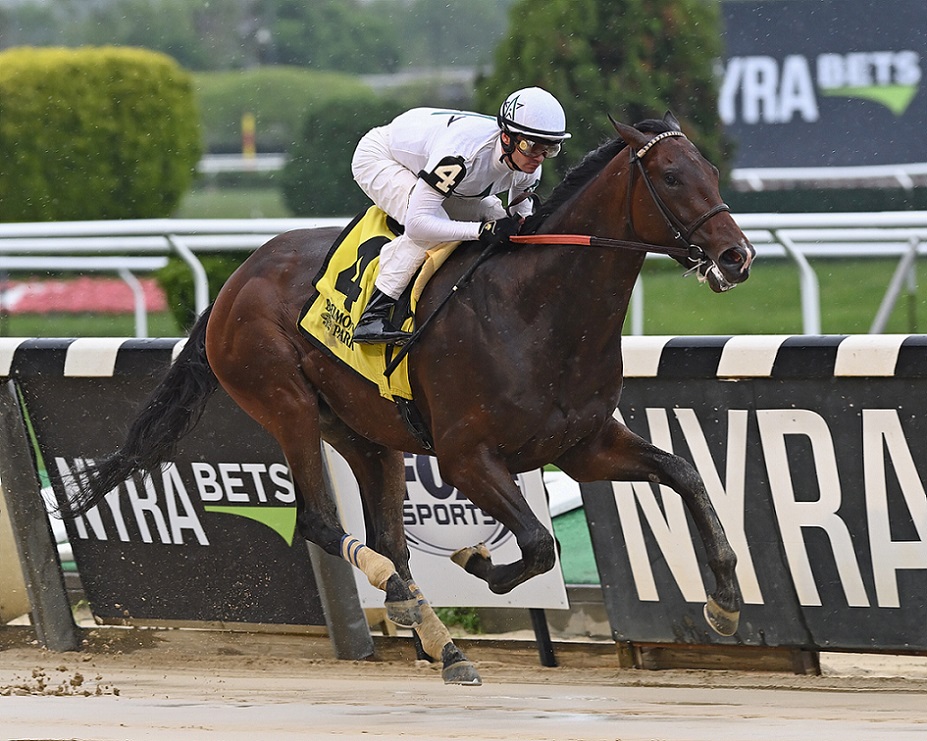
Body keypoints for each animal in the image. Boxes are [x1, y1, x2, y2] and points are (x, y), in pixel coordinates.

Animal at [61, 111, 755, 686]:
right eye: (671, 176)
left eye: (713, 171)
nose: (736, 257)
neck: (537, 309)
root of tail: (234, 282)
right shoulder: (466, 457)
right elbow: (537, 542)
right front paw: (477, 560)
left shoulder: (583, 443)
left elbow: (684, 473)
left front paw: (724, 602)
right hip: (285, 403)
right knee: (322, 521)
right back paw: (407, 605)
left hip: (367, 437)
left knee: (388, 538)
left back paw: (437, 640)